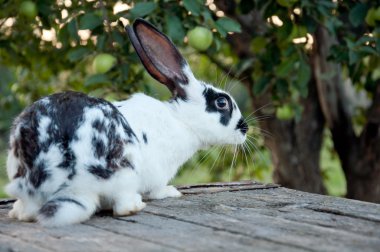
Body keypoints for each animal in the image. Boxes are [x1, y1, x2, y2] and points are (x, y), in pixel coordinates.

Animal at [5, 17, 249, 226]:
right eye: (222, 103)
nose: (245, 129)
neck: (180, 119)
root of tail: (72, 184)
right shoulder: (158, 174)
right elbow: (156, 190)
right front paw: (171, 192)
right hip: (126, 173)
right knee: (122, 207)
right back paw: (137, 205)